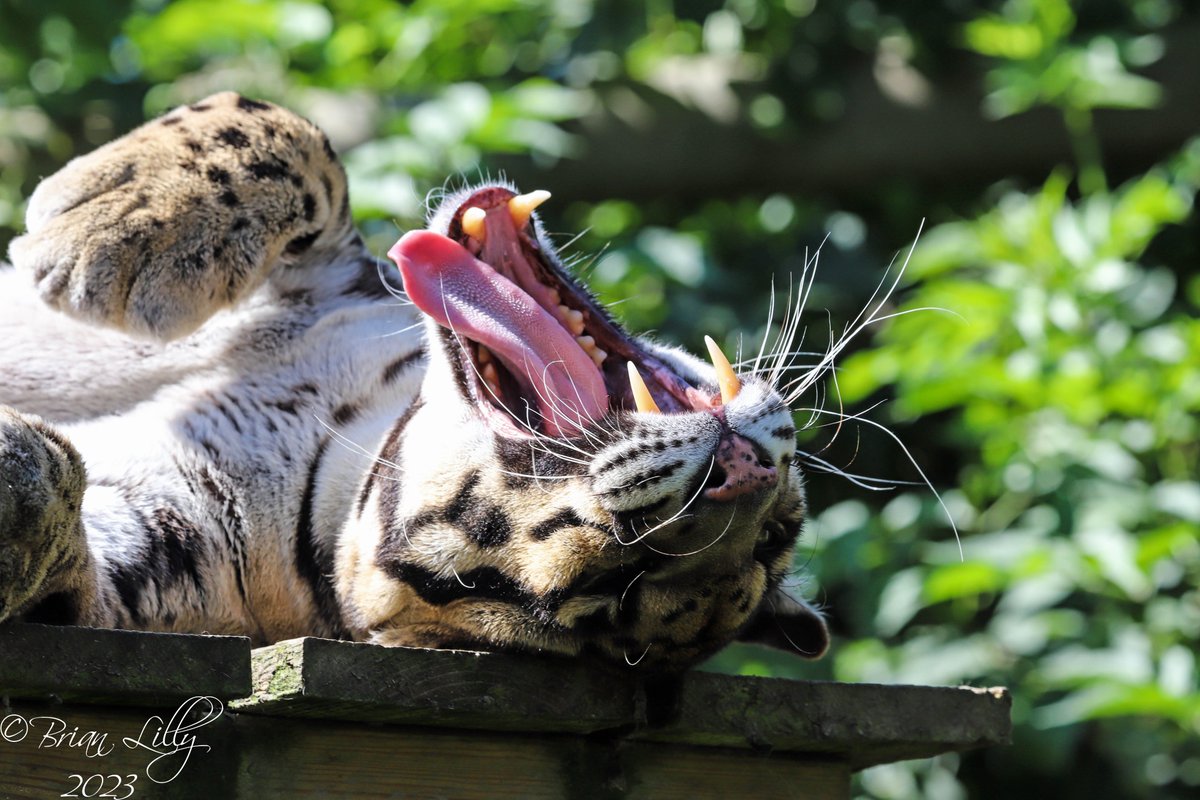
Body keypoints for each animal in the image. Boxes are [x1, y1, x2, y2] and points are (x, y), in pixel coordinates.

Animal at [0, 91, 829, 672]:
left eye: (617, 578)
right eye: (781, 533)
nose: (739, 473)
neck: (338, 427)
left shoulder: (154, 561)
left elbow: (71, 558)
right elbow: (286, 131)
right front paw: (106, 216)